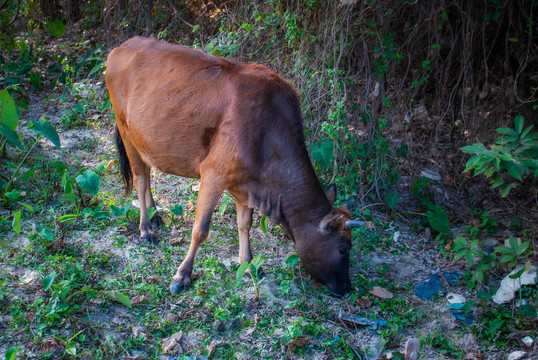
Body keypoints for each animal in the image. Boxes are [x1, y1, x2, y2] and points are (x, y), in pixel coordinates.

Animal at [103, 35, 360, 296]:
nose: (347, 287)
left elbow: (245, 224)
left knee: (147, 172)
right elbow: (200, 230)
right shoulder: (214, 173)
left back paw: (155, 214)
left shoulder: (246, 184)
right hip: (125, 129)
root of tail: (125, 45)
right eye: (343, 248)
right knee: (140, 177)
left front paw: (248, 264)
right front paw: (181, 276)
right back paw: (146, 228)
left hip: (143, 137)